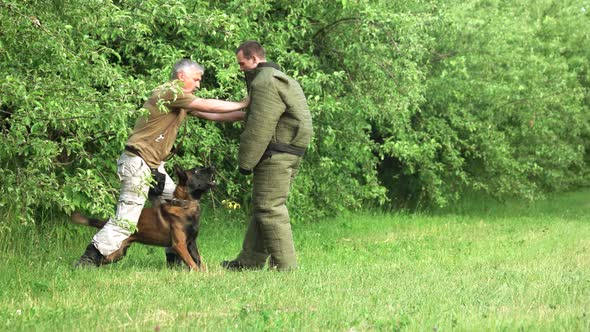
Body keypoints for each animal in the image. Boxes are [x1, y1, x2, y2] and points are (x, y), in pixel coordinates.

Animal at [71, 165, 215, 272]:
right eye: (196, 171)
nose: (212, 167)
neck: (184, 204)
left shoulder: (191, 244)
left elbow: (200, 262)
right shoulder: (180, 245)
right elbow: (193, 264)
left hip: (119, 253)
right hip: (115, 251)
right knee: (98, 258)